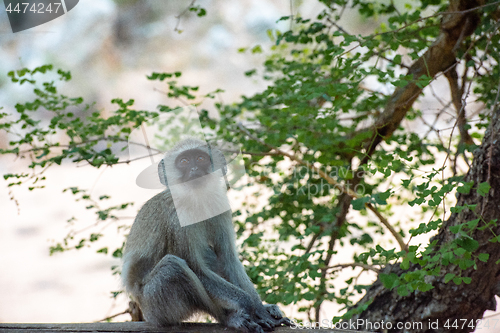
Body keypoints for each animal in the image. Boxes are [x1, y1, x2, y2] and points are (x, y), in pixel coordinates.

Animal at [120, 136, 290, 330]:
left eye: (200, 159)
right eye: (184, 161)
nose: (194, 169)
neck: (196, 198)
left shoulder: (219, 204)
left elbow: (227, 258)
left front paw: (260, 309)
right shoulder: (176, 217)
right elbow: (197, 269)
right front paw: (251, 307)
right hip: (155, 305)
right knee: (173, 268)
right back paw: (228, 318)